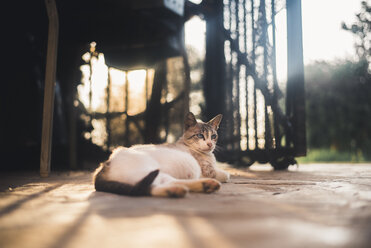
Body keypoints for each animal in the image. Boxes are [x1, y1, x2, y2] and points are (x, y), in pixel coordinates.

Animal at [93, 112, 230, 198]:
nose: (210, 144)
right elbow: (224, 175)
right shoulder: (208, 171)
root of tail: (104, 165)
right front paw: (223, 175)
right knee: (150, 187)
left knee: (151, 188)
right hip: (152, 171)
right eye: (200, 136)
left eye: (213, 136)